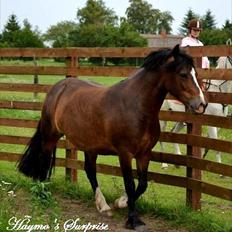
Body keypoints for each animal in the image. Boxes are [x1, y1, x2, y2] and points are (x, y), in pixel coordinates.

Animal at [18, 44, 207, 231]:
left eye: (196, 74)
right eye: (183, 74)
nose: (201, 105)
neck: (135, 106)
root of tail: (59, 86)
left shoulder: (144, 154)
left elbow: (142, 184)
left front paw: (120, 203)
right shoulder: (125, 154)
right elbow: (130, 185)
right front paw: (132, 219)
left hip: (90, 145)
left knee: (90, 170)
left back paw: (103, 206)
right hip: (51, 136)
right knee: (44, 161)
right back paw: (43, 195)